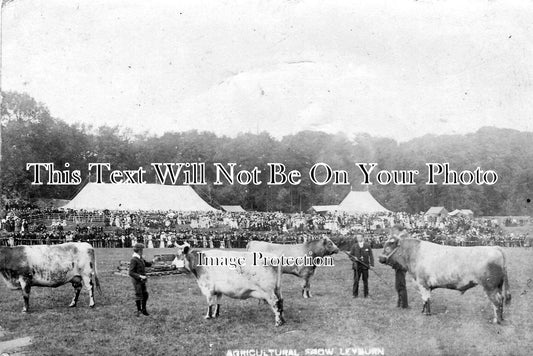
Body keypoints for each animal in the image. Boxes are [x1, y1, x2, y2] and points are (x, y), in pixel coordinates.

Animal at [376, 238, 510, 324]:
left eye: (388, 247)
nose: (380, 258)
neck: (414, 254)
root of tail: (495, 247)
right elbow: (427, 300)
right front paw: (426, 312)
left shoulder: (422, 284)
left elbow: (425, 299)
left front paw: (426, 314)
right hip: (498, 285)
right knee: (501, 299)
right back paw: (502, 318)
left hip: (490, 286)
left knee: (496, 302)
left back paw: (496, 321)